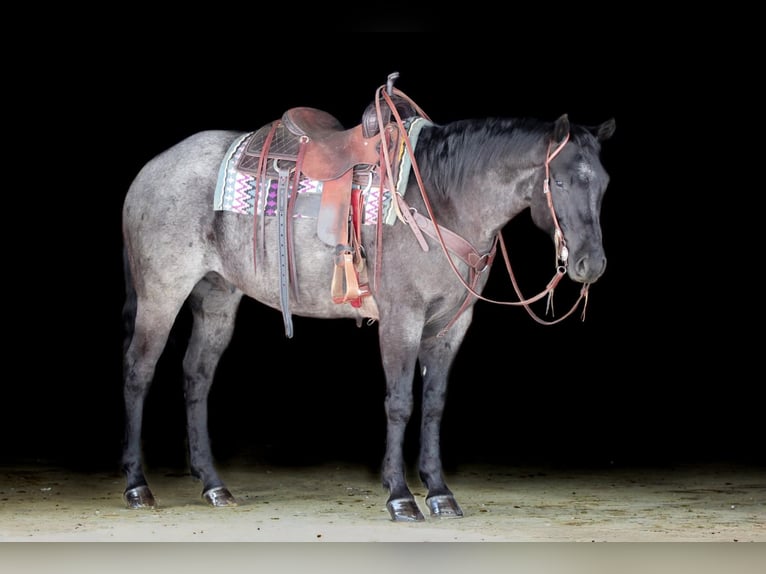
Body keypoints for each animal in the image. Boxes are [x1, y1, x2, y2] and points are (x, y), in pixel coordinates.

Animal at [121, 76, 616, 522]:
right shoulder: (402, 318)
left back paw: (213, 485)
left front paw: (439, 492)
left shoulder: (452, 325)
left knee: (196, 377)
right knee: (139, 373)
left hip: (217, 296)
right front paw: (400, 496)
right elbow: (399, 403)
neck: (441, 197)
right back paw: (137, 486)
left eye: (604, 183)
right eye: (560, 182)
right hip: (161, 295)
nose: (590, 264)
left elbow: (434, 404)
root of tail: (151, 169)